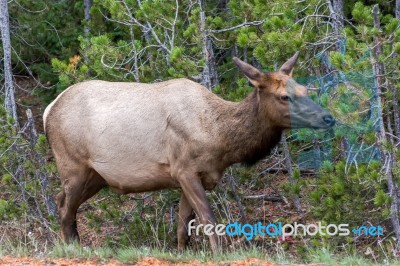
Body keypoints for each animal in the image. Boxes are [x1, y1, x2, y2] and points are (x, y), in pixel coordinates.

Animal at [43, 52, 334, 254]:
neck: (220, 140)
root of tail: (48, 110)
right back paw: (72, 248)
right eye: (284, 96)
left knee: (62, 201)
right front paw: (218, 254)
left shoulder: (191, 176)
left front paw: (184, 252)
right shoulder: (184, 169)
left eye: (304, 89)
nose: (328, 117)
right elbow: (208, 218)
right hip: (73, 165)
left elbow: (184, 223)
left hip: (96, 176)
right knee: (65, 206)